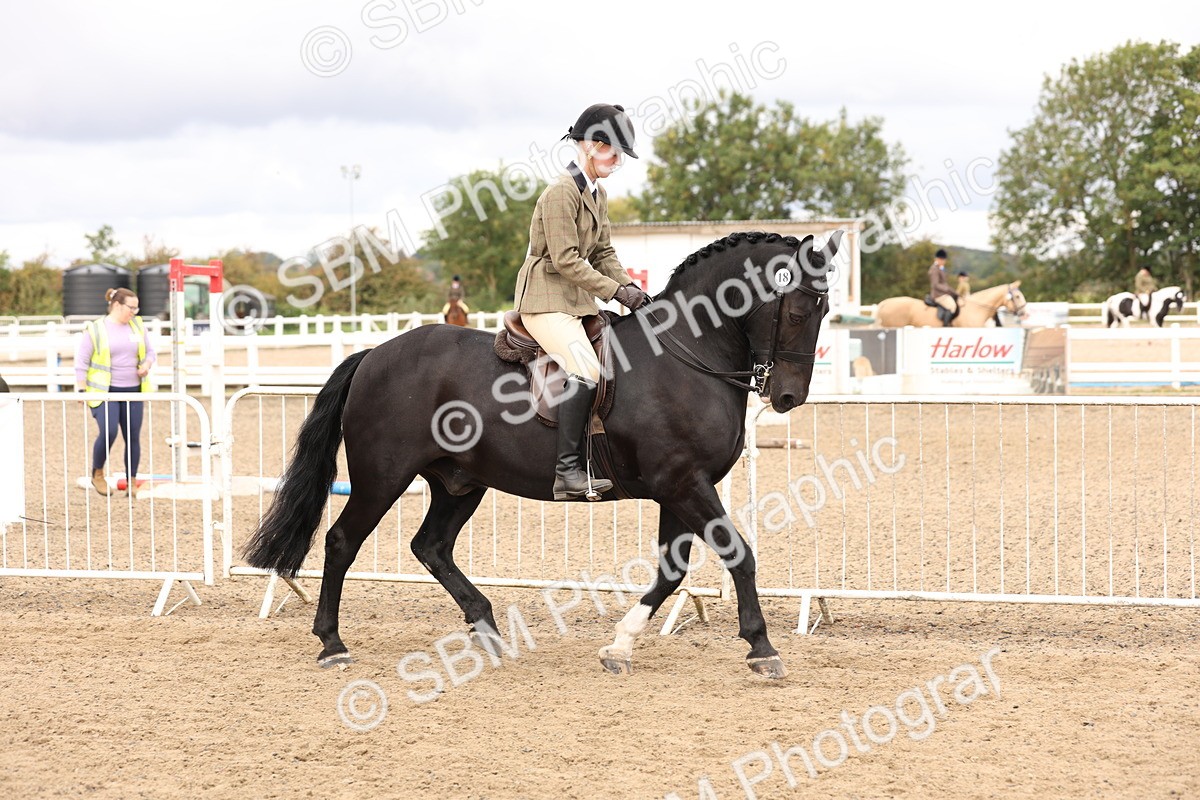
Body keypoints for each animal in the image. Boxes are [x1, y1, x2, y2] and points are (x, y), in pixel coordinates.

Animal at [243, 230, 841, 679]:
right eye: (797, 312)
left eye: (826, 308)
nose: (788, 398)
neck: (684, 356)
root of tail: (373, 355)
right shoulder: (683, 482)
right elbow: (739, 554)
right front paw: (762, 648)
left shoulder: (681, 488)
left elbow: (672, 571)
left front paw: (619, 646)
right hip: (381, 477)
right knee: (342, 542)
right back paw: (332, 643)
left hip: (460, 482)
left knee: (430, 546)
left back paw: (488, 630)